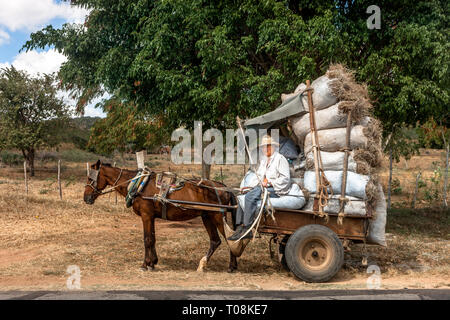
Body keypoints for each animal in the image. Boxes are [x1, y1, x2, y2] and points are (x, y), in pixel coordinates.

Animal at [83, 160, 239, 272]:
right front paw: (153, 263)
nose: (86, 198)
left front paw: (145, 265)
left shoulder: (146, 215)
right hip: (207, 217)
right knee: (215, 241)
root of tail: (223, 187)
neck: (139, 185)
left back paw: (231, 266)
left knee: (229, 238)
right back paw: (203, 264)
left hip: (217, 216)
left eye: (90, 178)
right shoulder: (151, 217)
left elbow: (147, 239)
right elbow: (153, 238)